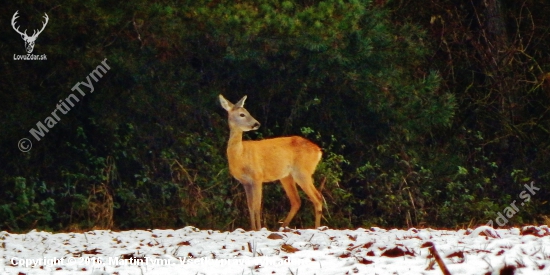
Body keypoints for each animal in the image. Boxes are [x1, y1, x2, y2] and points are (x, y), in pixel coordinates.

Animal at [219, 95, 324, 231]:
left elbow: (257, 206)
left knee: (317, 197)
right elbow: (250, 206)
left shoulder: (257, 177)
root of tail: (318, 150)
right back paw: (282, 227)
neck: (241, 156)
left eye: (248, 112)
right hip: (286, 176)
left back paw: (317, 228)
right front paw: (253, 229)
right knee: (296, 200)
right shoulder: (245, 182)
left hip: (302, 171)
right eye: (242, 114)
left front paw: (258, 229)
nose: (256, 123)